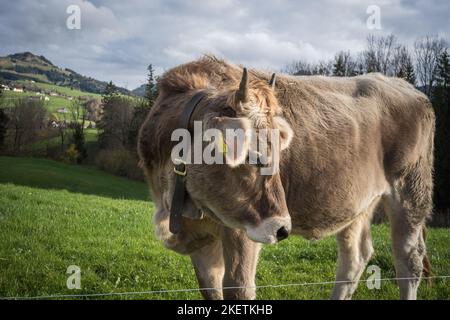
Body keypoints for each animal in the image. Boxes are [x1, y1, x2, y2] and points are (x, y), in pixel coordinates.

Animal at [138, 55, 436, 300]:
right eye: (254, 156)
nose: (283, 229)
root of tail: (408, 87)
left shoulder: (241, 228)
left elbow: (238, 289)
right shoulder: (202, 237)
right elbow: (211, 290)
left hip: (410, 192)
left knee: (409, 261)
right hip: (358, 203)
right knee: (354, 258)